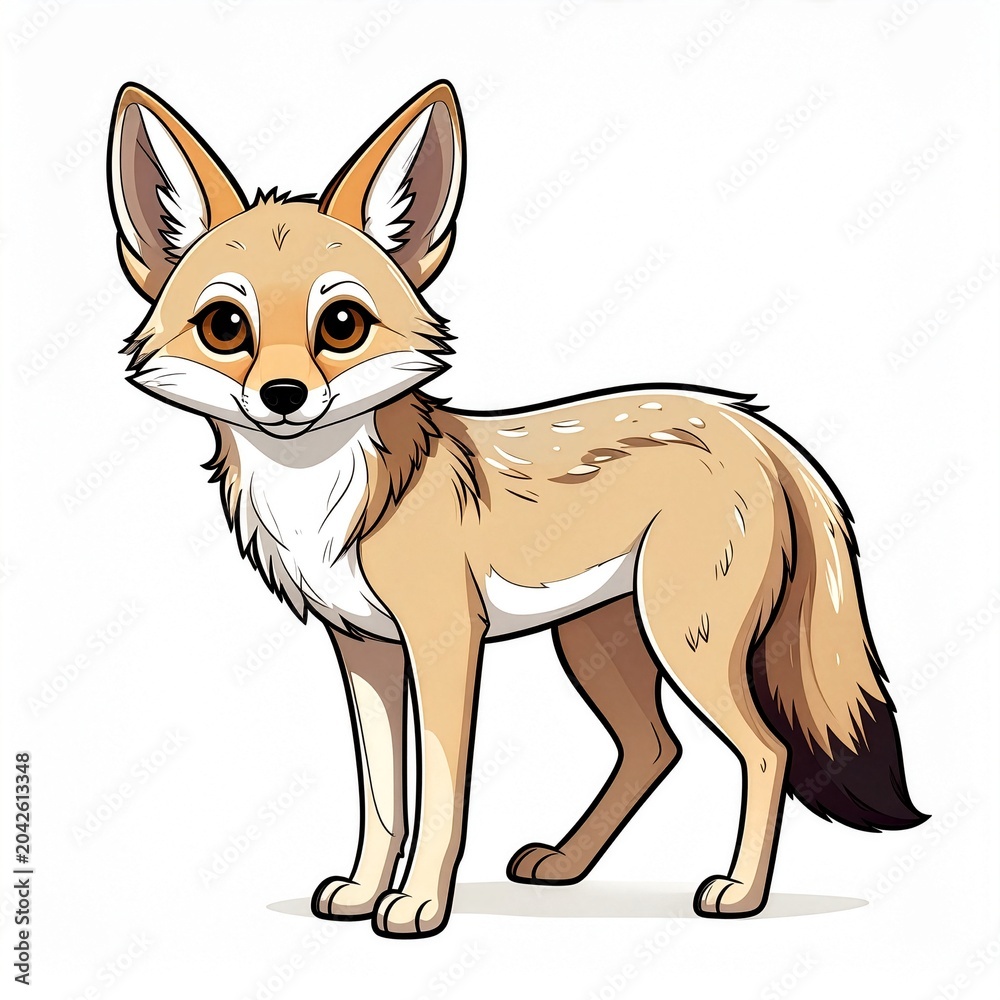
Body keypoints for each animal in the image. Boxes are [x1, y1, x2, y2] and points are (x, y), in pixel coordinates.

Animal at [107, 80, 926, 938]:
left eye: (342, 325)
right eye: (226, 326)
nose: (284, 395)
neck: (324, 507)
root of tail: (754, 425)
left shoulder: (444, 643)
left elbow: (442, 794)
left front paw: (419, 904)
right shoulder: (363, 649)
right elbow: (384, 798)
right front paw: (363, 893)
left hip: (686, 643)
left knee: (766, 751)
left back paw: (738, 892)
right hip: (598, 643)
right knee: (655, 748)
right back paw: (565, 864)